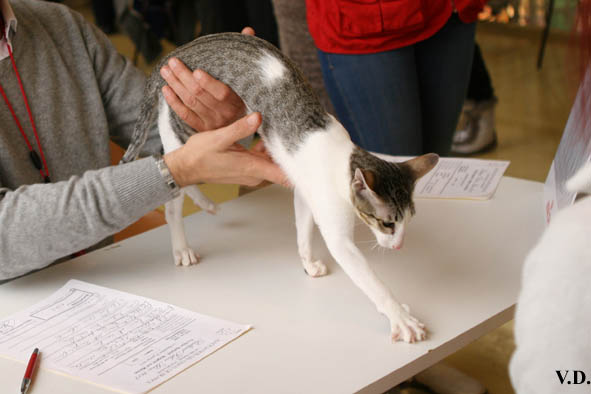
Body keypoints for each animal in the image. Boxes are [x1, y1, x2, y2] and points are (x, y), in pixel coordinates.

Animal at [122, 33, 440, 342]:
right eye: (387, 223)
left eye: (408, 220)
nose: (399, 245)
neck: (343, 158)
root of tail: (175, 53)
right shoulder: (338, 234)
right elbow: (372, 282)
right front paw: (400, 317)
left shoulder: (304, 192)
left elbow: (303, 232)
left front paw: (308, 262)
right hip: (181, 129)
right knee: (172, 191)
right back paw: (182, 247)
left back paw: (206, 203)